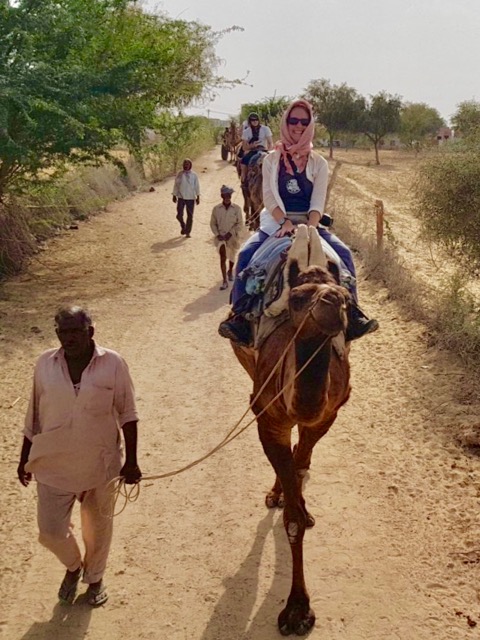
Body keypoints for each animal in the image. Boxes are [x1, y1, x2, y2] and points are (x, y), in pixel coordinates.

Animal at [230, 226, 351, 635]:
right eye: (298, 298)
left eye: (345, 296)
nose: (333, 301)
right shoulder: (267, 418)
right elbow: (293, 518)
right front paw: (297, 609)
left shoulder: (328, 413)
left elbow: (302, 459)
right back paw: (277, 493)